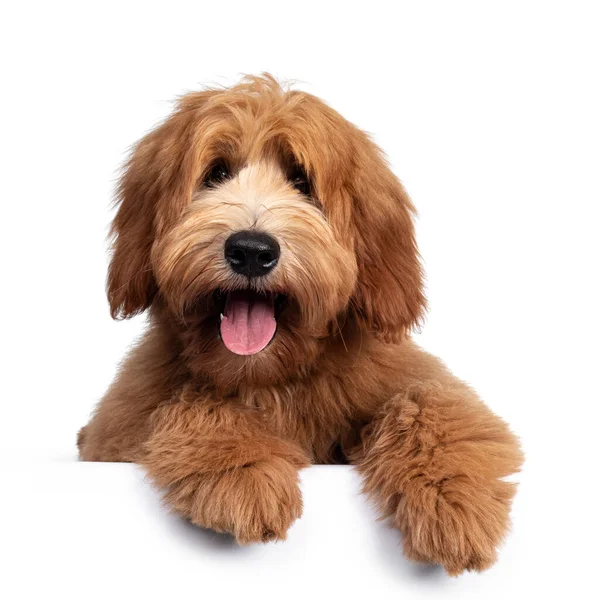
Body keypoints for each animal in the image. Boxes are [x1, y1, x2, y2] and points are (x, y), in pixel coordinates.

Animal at [77, 75, 524, 576]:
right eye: (215, 173)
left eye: (301, 180)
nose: (251, 250)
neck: (273, 377)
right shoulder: (118, 431)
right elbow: (193, 402)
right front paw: (243, 472)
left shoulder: (407, 376)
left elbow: (432, 404)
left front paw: (453, 499)